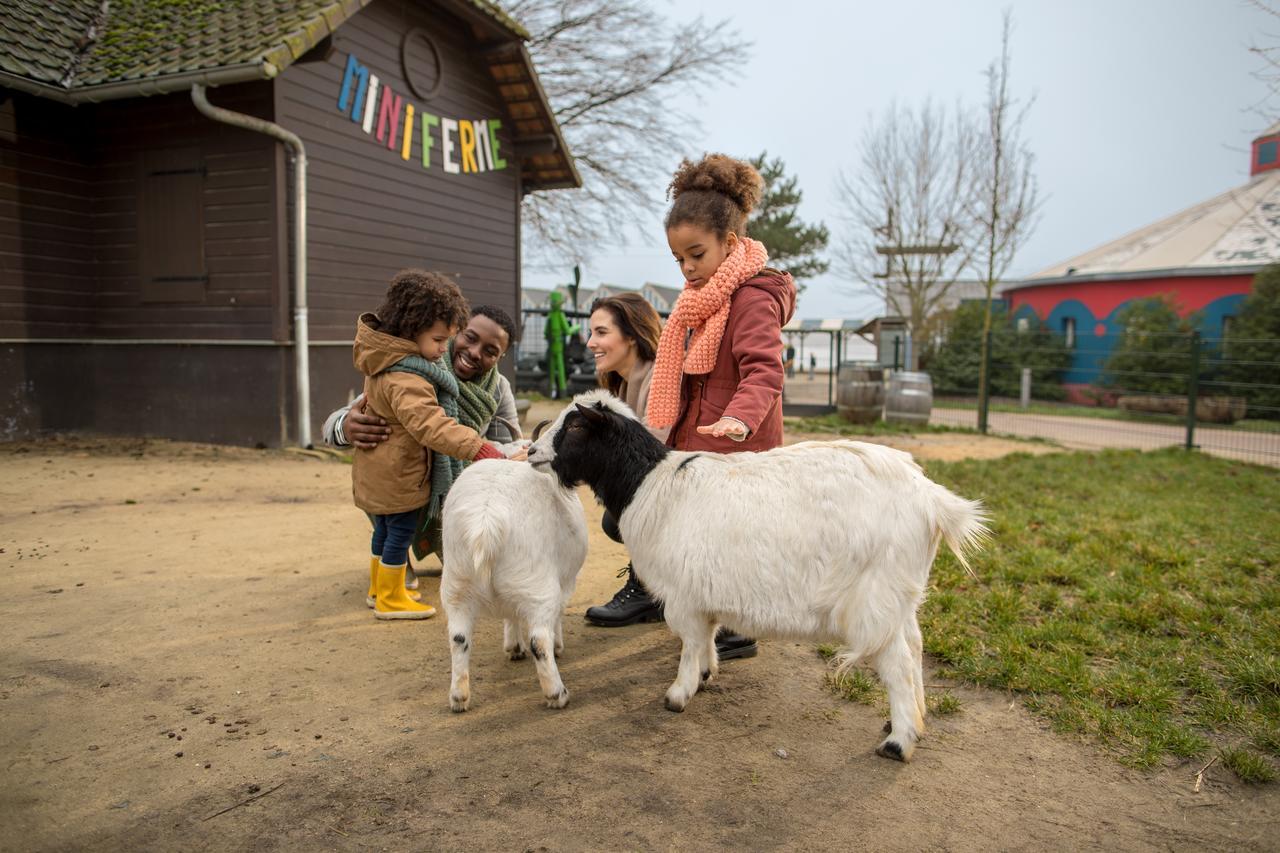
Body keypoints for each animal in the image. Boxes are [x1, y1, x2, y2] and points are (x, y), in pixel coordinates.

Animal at [435, 455, 586, 706]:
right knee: (539, 639)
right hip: (536, 585)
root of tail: (486, 522)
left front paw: (514, 647)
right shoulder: (564, 583)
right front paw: (556, 646)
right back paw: (557, 694)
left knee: (458, 638)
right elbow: (556, 617)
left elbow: (510, 614)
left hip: (457, 584)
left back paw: (459, 697)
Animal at [529, 389, 988, 758]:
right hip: (901, 594)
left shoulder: (683, 594)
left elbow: (689, 643)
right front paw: (707, 673)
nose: (532, 451)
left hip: (875, 597)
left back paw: (899, 742)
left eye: (575, 426)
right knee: (915, 647)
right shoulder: (703, 589)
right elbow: (706, 636)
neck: (652, 483)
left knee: (898, 662)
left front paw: (678, 694)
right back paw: (907, 721)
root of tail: (931, 500)